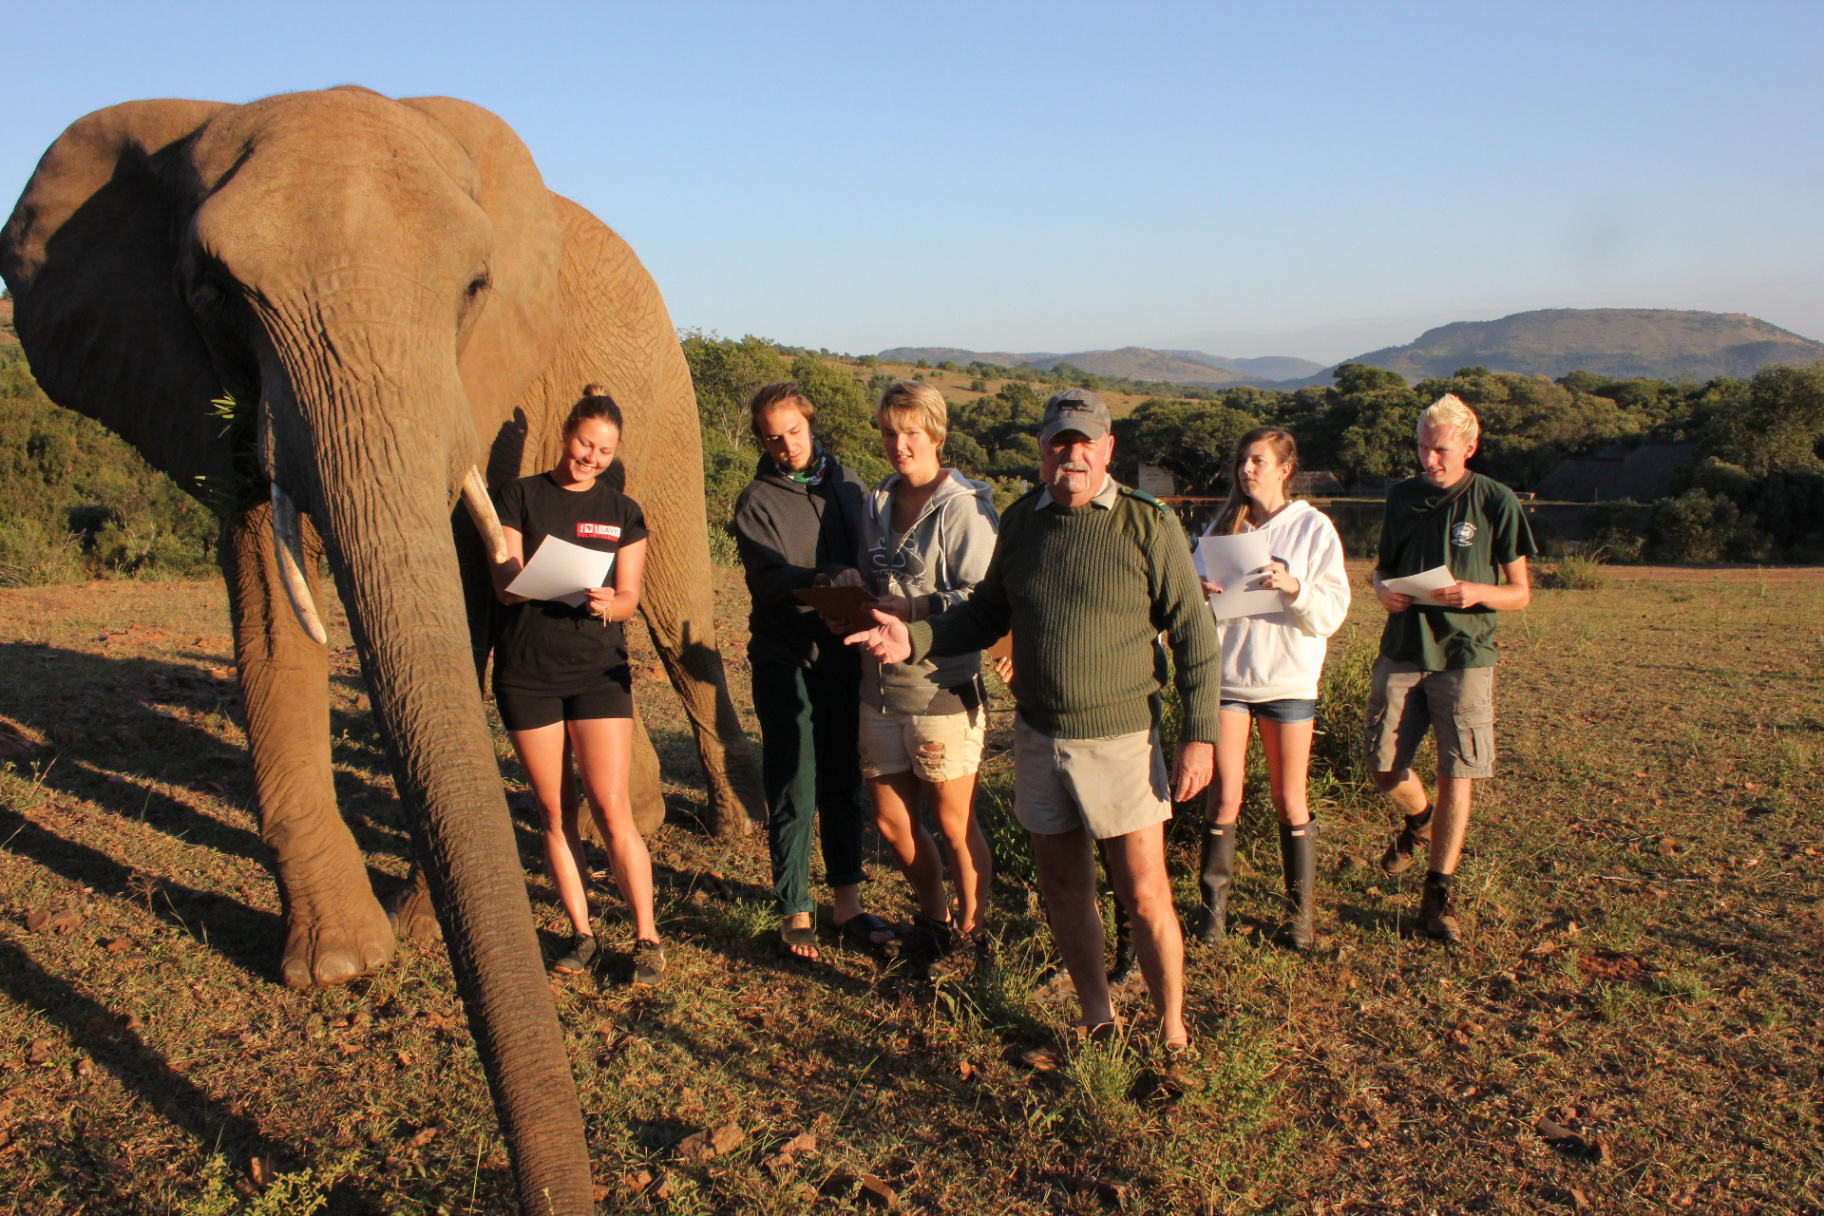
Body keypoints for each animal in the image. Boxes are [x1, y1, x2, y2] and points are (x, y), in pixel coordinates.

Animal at [1, 86, 762, 1213]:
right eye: (216, 291)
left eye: (474, 289)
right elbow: (271, 594)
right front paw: (345, 963)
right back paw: (624, 824)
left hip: (662, 399)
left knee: (676, 620)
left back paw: (726, 827)